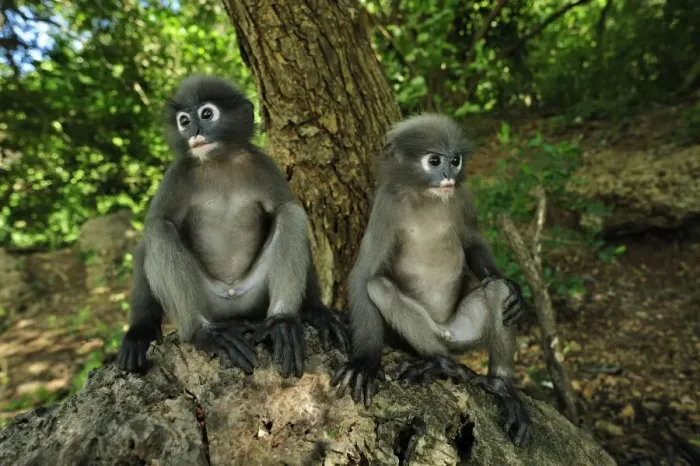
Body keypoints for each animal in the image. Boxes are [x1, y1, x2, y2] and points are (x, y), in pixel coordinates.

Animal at [117, 75, 348, 379]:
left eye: (206, 114)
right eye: (183, 120)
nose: (194, 131)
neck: (219, 162)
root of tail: (232, 298)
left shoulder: (264, 165)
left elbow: (285, 208)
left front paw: (316, 310)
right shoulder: (176, 175)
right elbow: (152, 231)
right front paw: (140, 331)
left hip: (255, 294)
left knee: (290, 213)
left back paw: (282, 323)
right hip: (210, 300)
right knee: (158, 231)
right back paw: (206, 334)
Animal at [330, 113, 531, 446]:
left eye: (455, 159)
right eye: (434, 161)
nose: (449, 174)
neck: (428, 196)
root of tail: (446, 331)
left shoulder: (463, 198)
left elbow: (472, 242)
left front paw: (514, 286)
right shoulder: (386, 205)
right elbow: (364, 275)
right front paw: (365, 361)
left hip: (464, 332)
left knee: (499, 292)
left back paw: (502, 386)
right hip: (434, 335)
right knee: (379, 287)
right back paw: (440, 364)